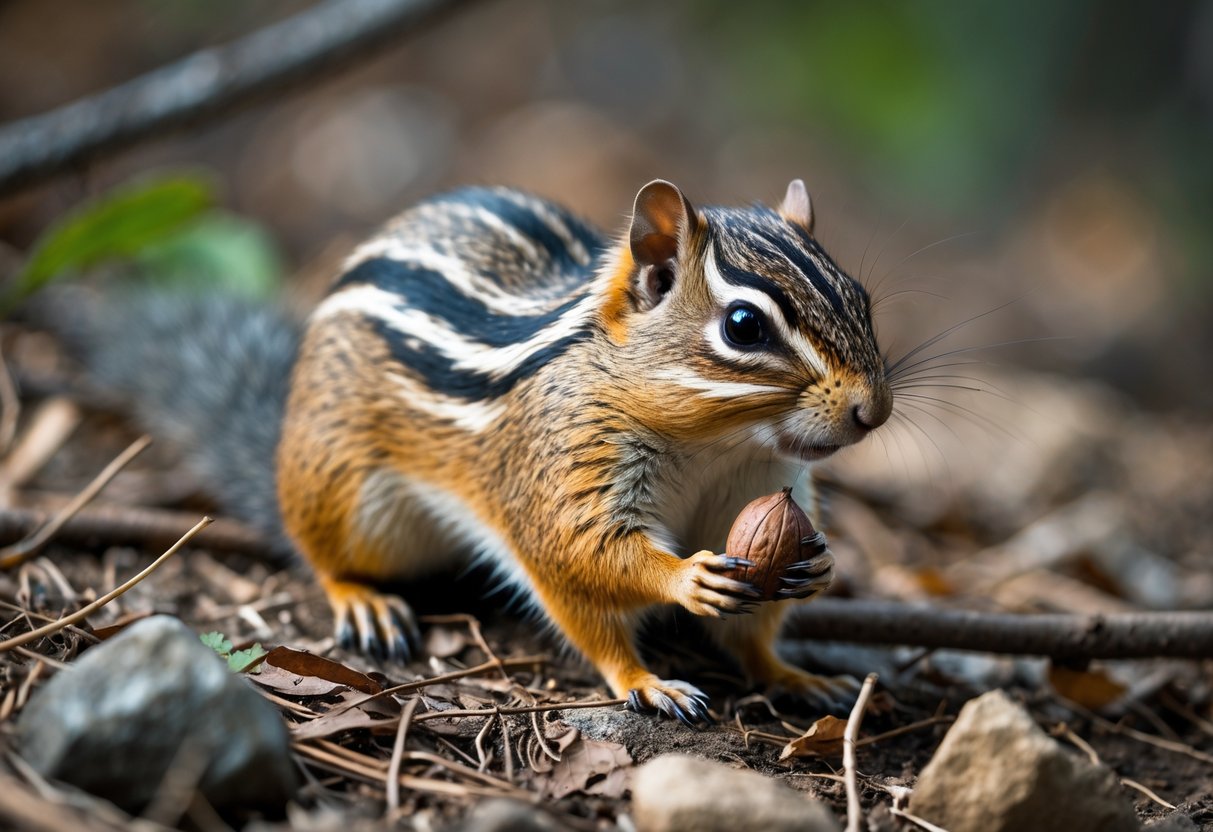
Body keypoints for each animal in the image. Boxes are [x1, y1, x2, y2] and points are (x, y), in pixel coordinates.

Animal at [63, 178, 892, 724]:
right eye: (744, 327)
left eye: (861, 299)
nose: (872, 410)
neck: (715, 446)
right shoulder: (557, 472)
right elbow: (582, 570)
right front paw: (654, 652)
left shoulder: (753, 491)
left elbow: (754, 633)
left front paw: (801, 623)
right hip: (348, 497)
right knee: (316, 548)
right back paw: (360, 599)